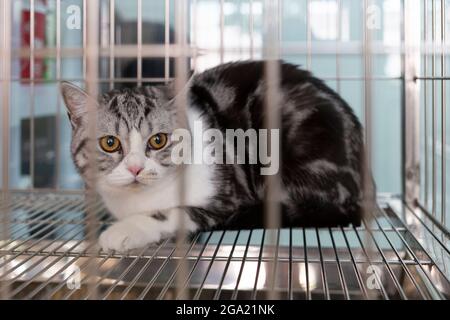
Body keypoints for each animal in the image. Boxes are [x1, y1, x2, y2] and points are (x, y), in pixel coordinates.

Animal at [61, 60, 374, 252]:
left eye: (158, 140)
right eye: (110, 143)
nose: (136, 168)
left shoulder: (228, 196)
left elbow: (171, 213)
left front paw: (125, 229)